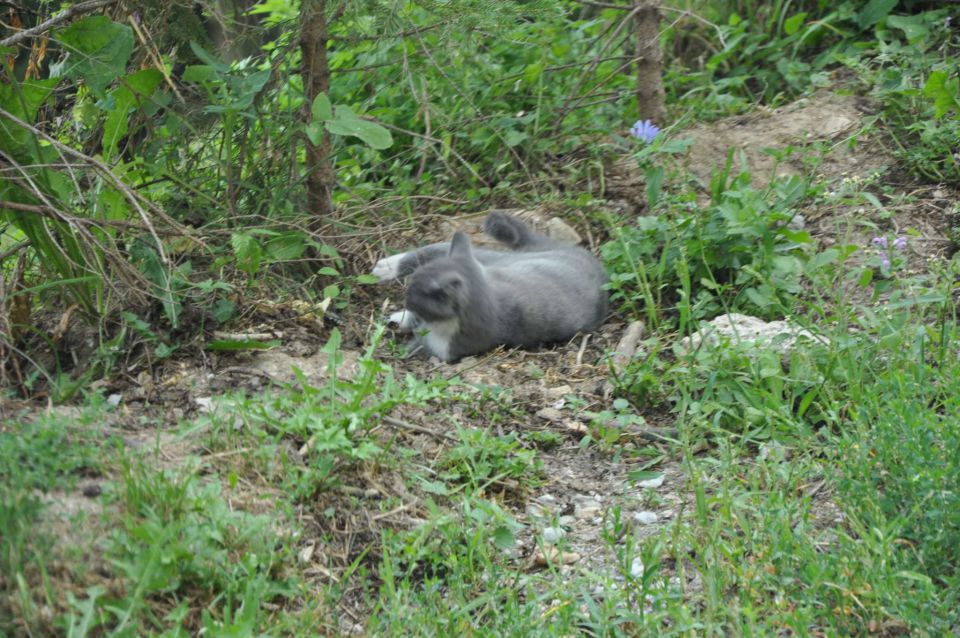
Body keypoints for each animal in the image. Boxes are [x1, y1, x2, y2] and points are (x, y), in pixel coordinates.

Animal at [372, 212, 604, 362]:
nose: (407, 300)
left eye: (413, 296)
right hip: (492, 259)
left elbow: (420, 342)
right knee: (438, 248)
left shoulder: (447, 348)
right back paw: (386, 267)